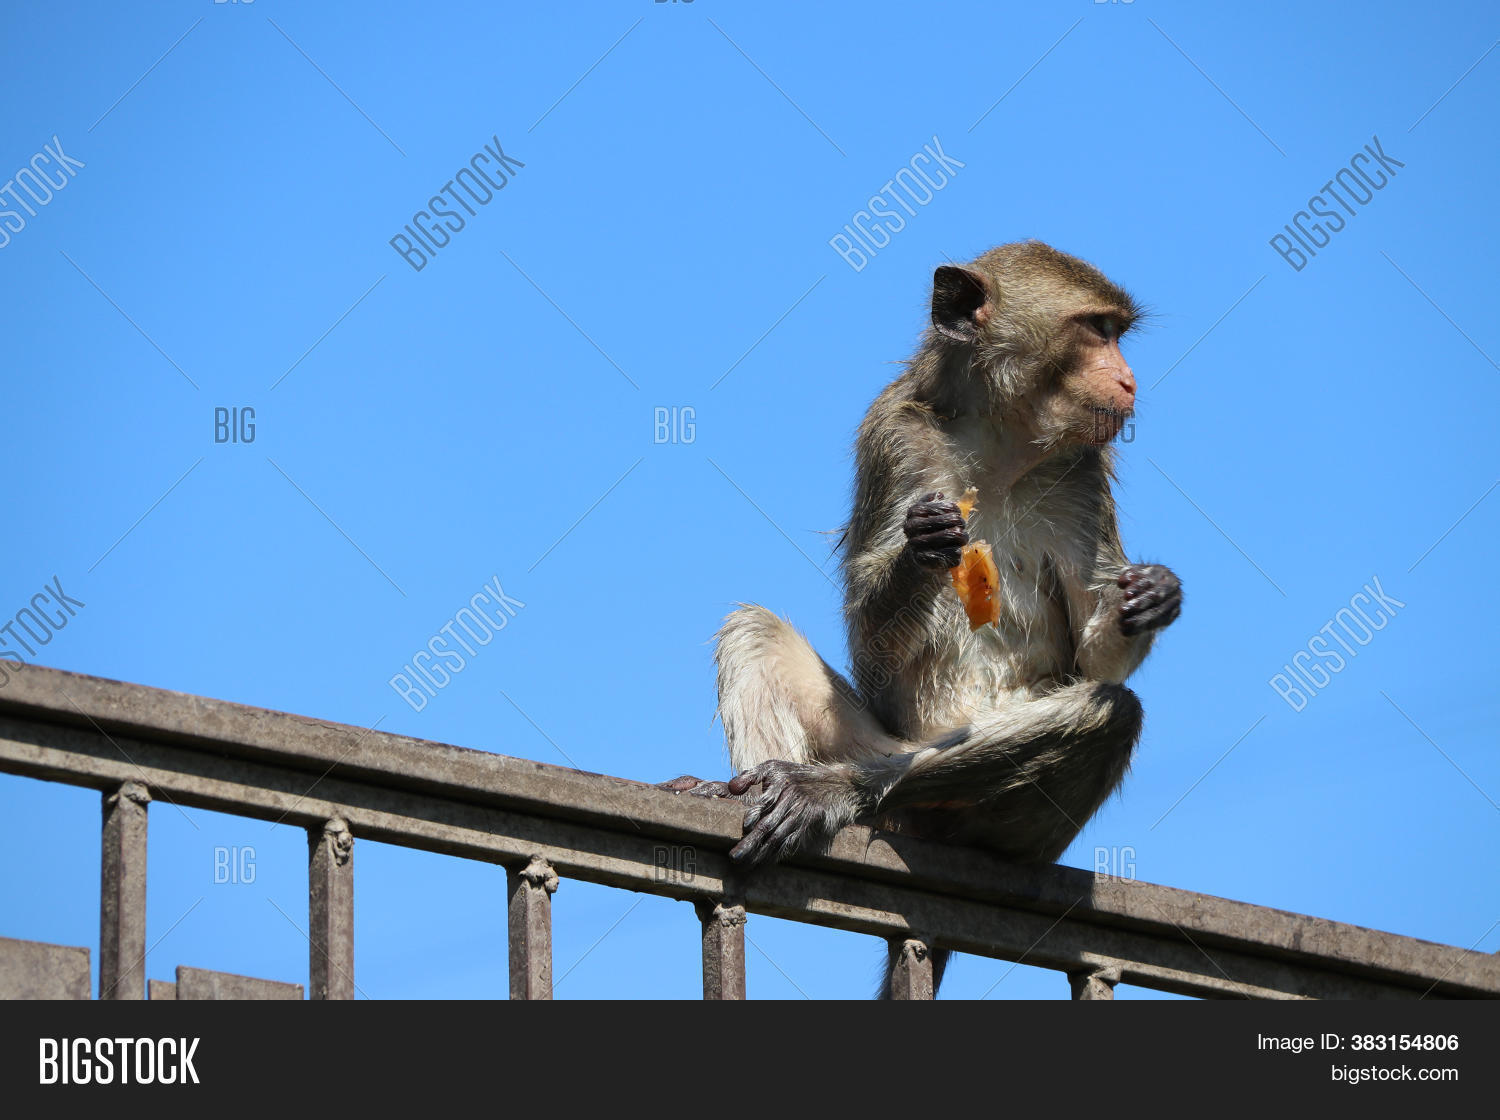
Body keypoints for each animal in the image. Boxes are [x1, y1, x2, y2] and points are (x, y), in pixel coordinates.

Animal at [663, 241, 1182, 997]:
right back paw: (752, 786)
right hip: (881, 742)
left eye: (1116, 333)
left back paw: (834, 791)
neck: (1001, 445)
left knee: (1107, 712)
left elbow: (1095, 658)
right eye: (1095, 331)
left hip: (1007, 831)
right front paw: (923, 546)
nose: (1128, 379)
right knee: (755, 628)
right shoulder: (895, 437)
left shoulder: (1083, 472)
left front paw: (1154, 596)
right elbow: (874, 649)